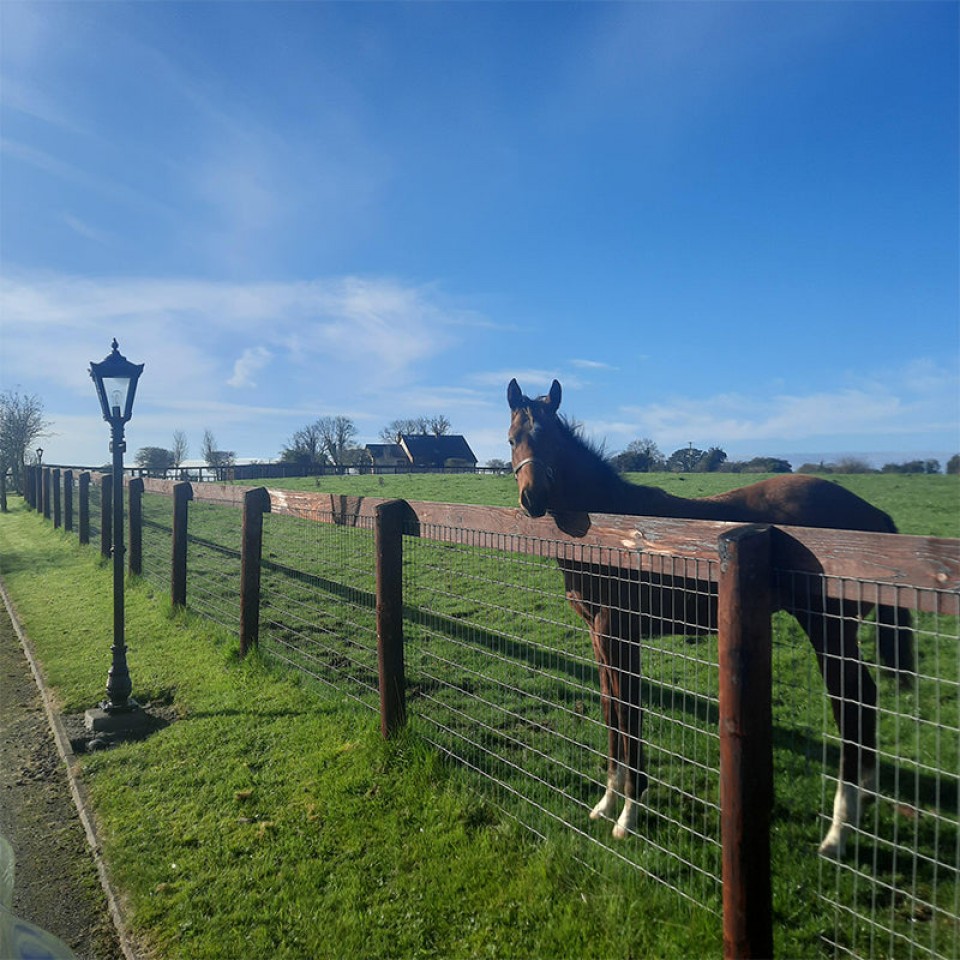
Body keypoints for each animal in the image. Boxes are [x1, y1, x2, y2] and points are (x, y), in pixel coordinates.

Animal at [506, 378, 912, 860]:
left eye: (553, 440)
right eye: (513, 439)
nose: (532, 500)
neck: (612, 529)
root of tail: (876, 518)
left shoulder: (620, 631)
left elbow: (629, 711)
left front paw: (628, 816)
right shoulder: (599, 635)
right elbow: (610, 709)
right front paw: (606, 803)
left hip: (829, 630)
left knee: (853, 702)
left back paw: (838, 832)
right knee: (862, 702)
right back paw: (860, 807)